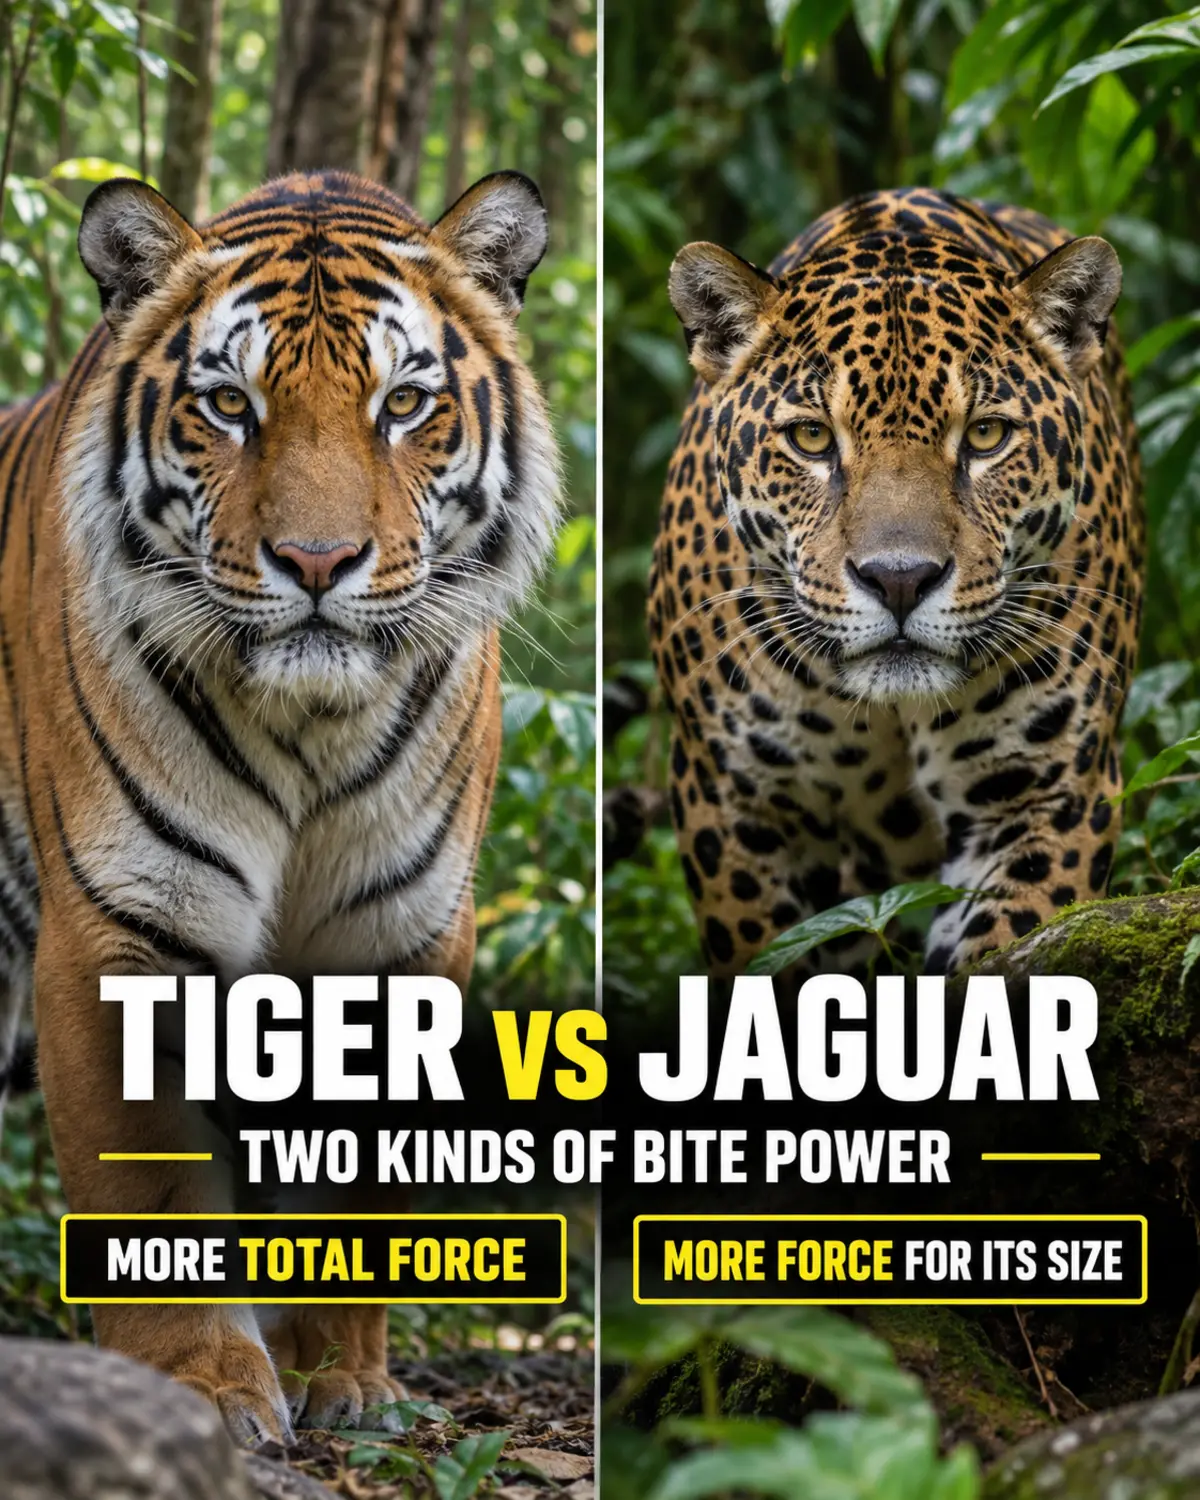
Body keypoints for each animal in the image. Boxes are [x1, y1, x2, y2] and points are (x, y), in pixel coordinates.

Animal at [0, 168, 559, 1442]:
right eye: (227, 405)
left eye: (405, 404)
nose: (315, 561)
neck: (312, 725)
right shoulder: (121, 928)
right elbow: (150, 1188)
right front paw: (208, 1386)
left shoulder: (398, 938)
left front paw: (341, 1377)